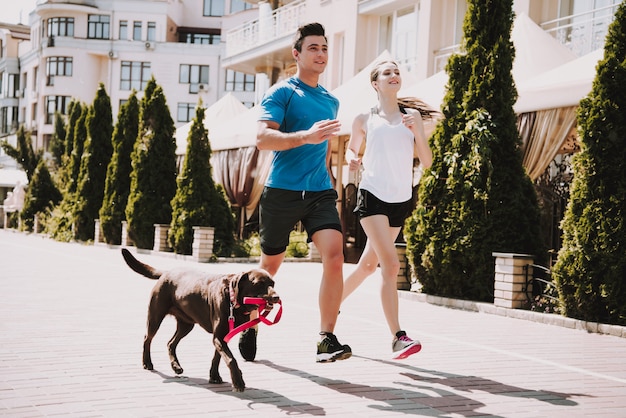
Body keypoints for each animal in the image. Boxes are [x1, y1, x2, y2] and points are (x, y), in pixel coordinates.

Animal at [120, 248, 276, 392]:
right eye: (259, 284)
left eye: (273, 284)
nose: (276, 297)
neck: (233, 300)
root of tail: (166, 272)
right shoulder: (219, 337)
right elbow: (231, 359)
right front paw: (238, 382)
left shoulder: (221, 337)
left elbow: (218, 358)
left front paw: (214, 376)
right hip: (155, 316)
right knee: (147, 338)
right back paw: (147, 363)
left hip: (186, 324)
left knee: (171, 343)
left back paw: (176, 366)